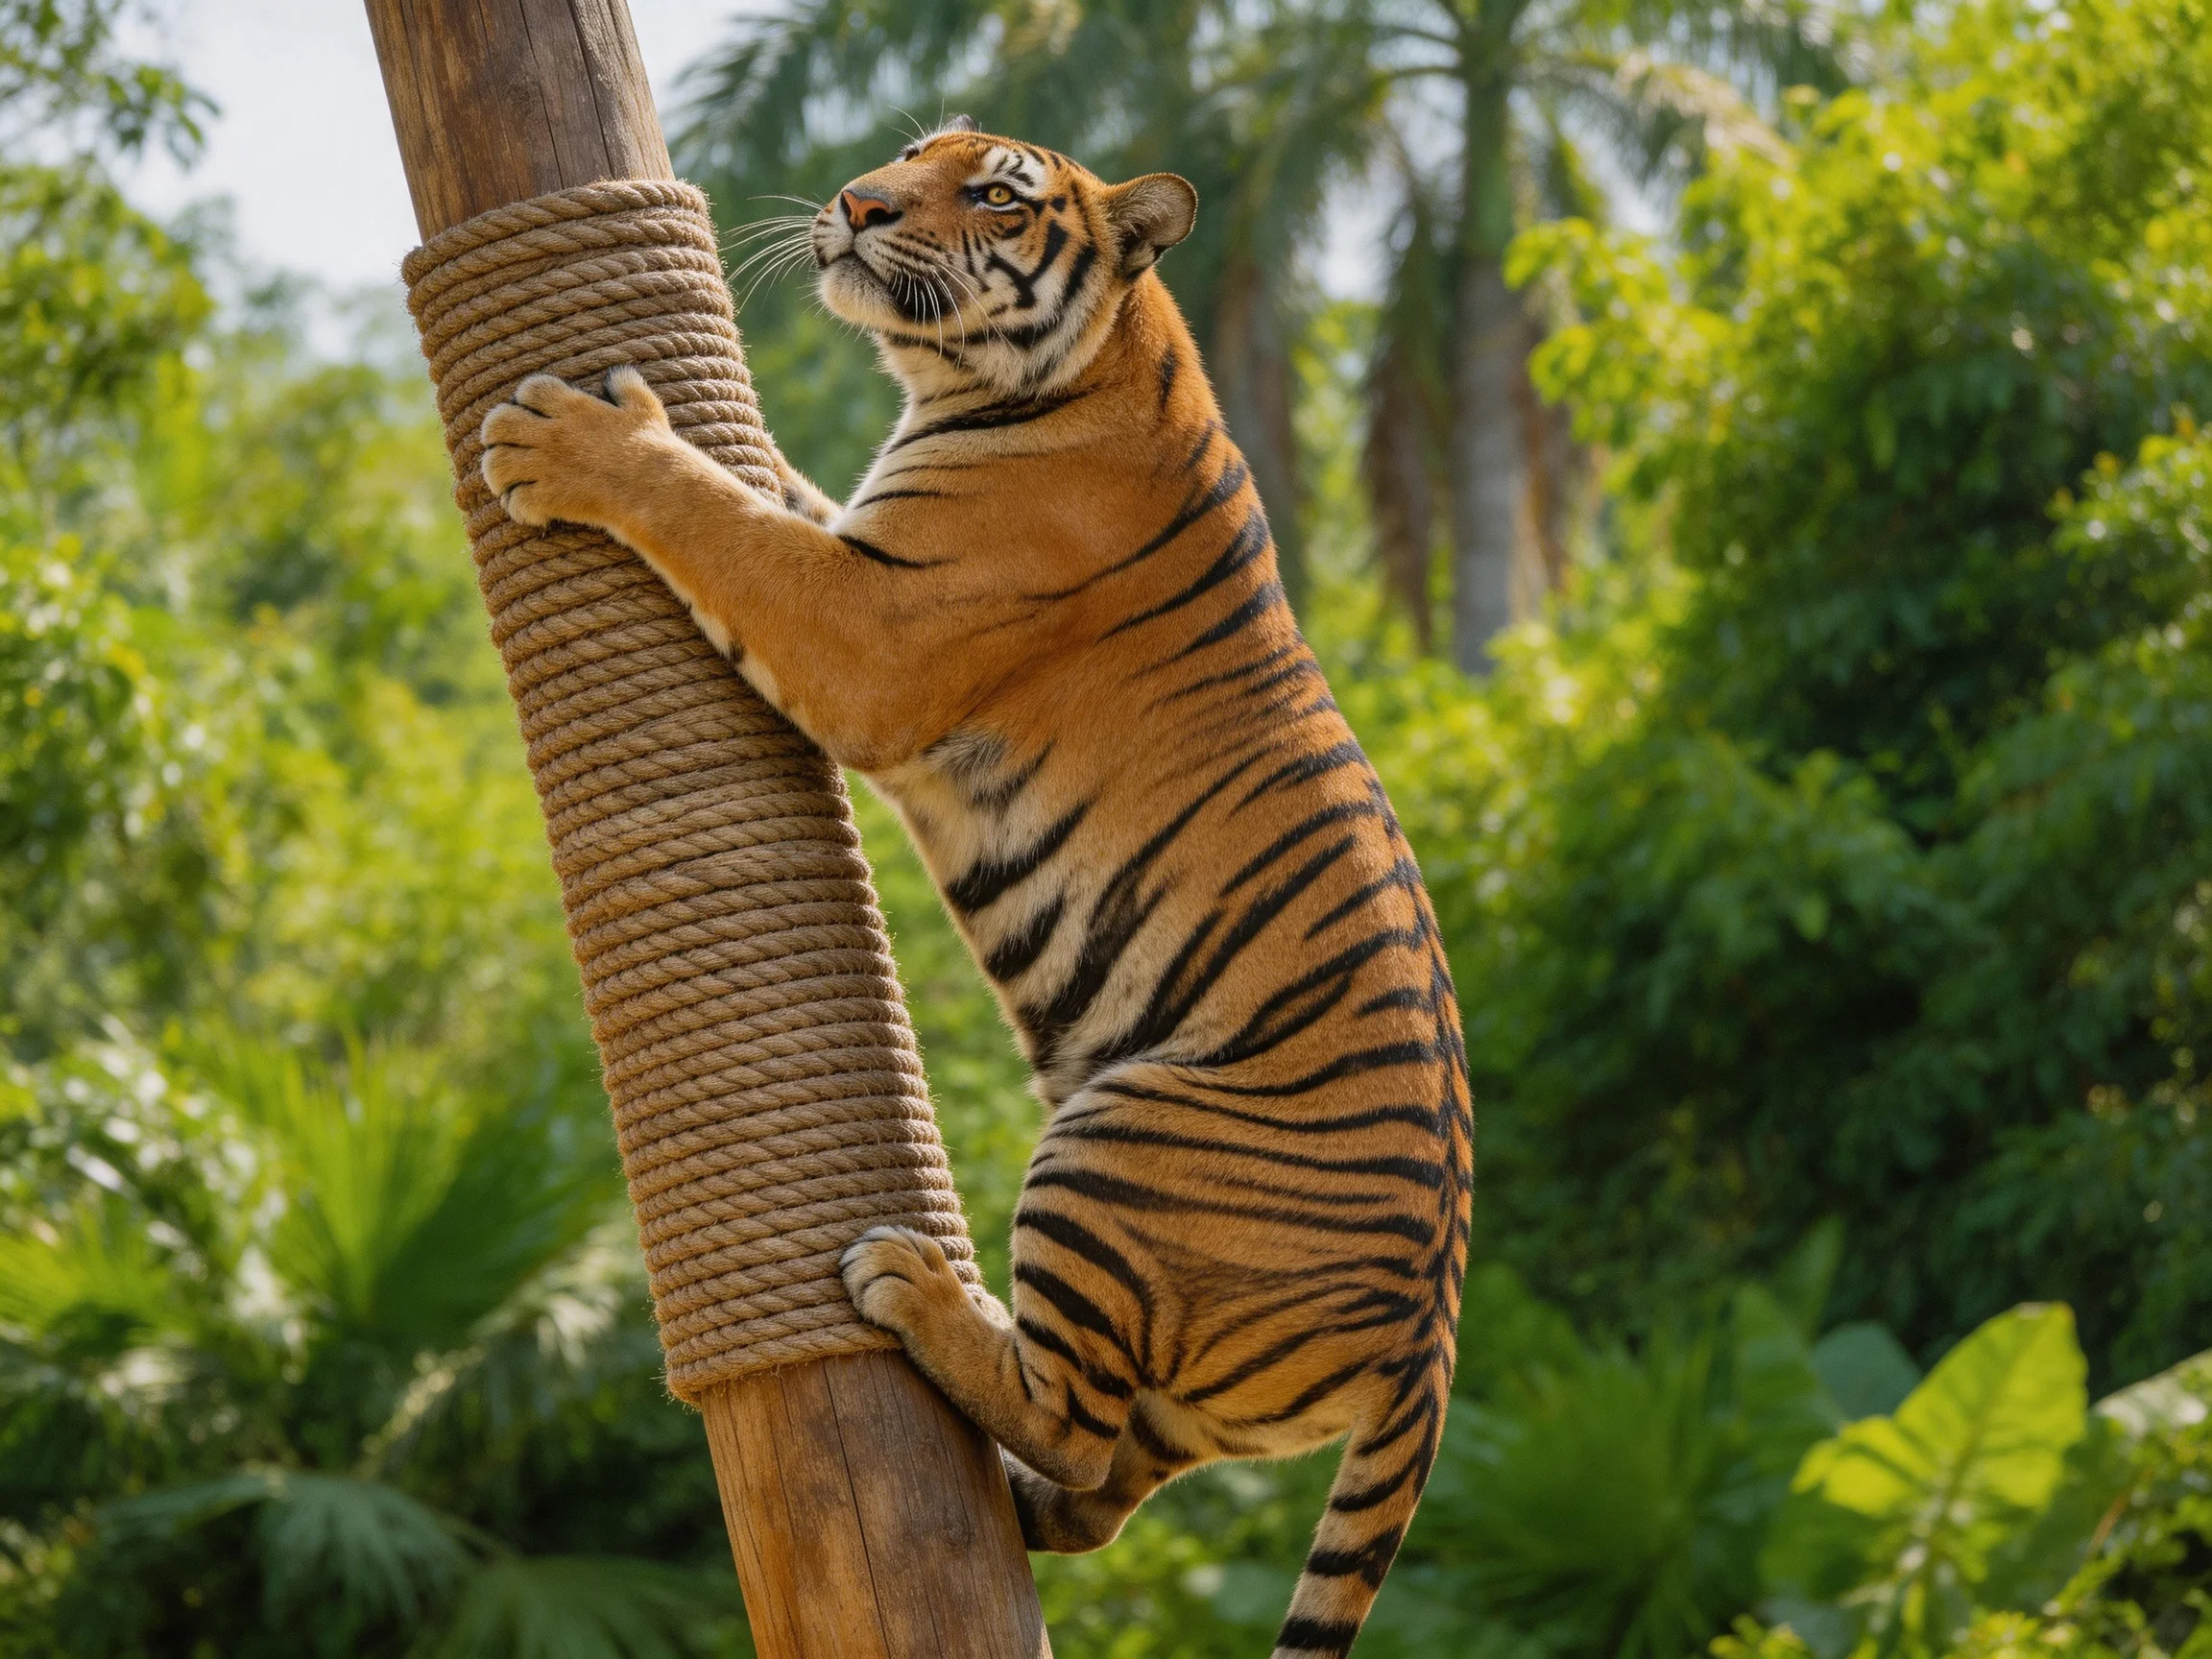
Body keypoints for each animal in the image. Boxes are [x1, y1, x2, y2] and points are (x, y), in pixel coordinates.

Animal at [480, 117, 1473, 1657]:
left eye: (997, 195)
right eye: (912, 150)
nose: (855, 202)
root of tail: (1431, 1347)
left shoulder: (866, 626)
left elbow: (715, 515)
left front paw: (574, 438)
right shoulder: (853, 550)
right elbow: (765, 492)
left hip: (1120, 1141)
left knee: (1073, 1417)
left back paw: (911, 1286)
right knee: (1108, 1479)